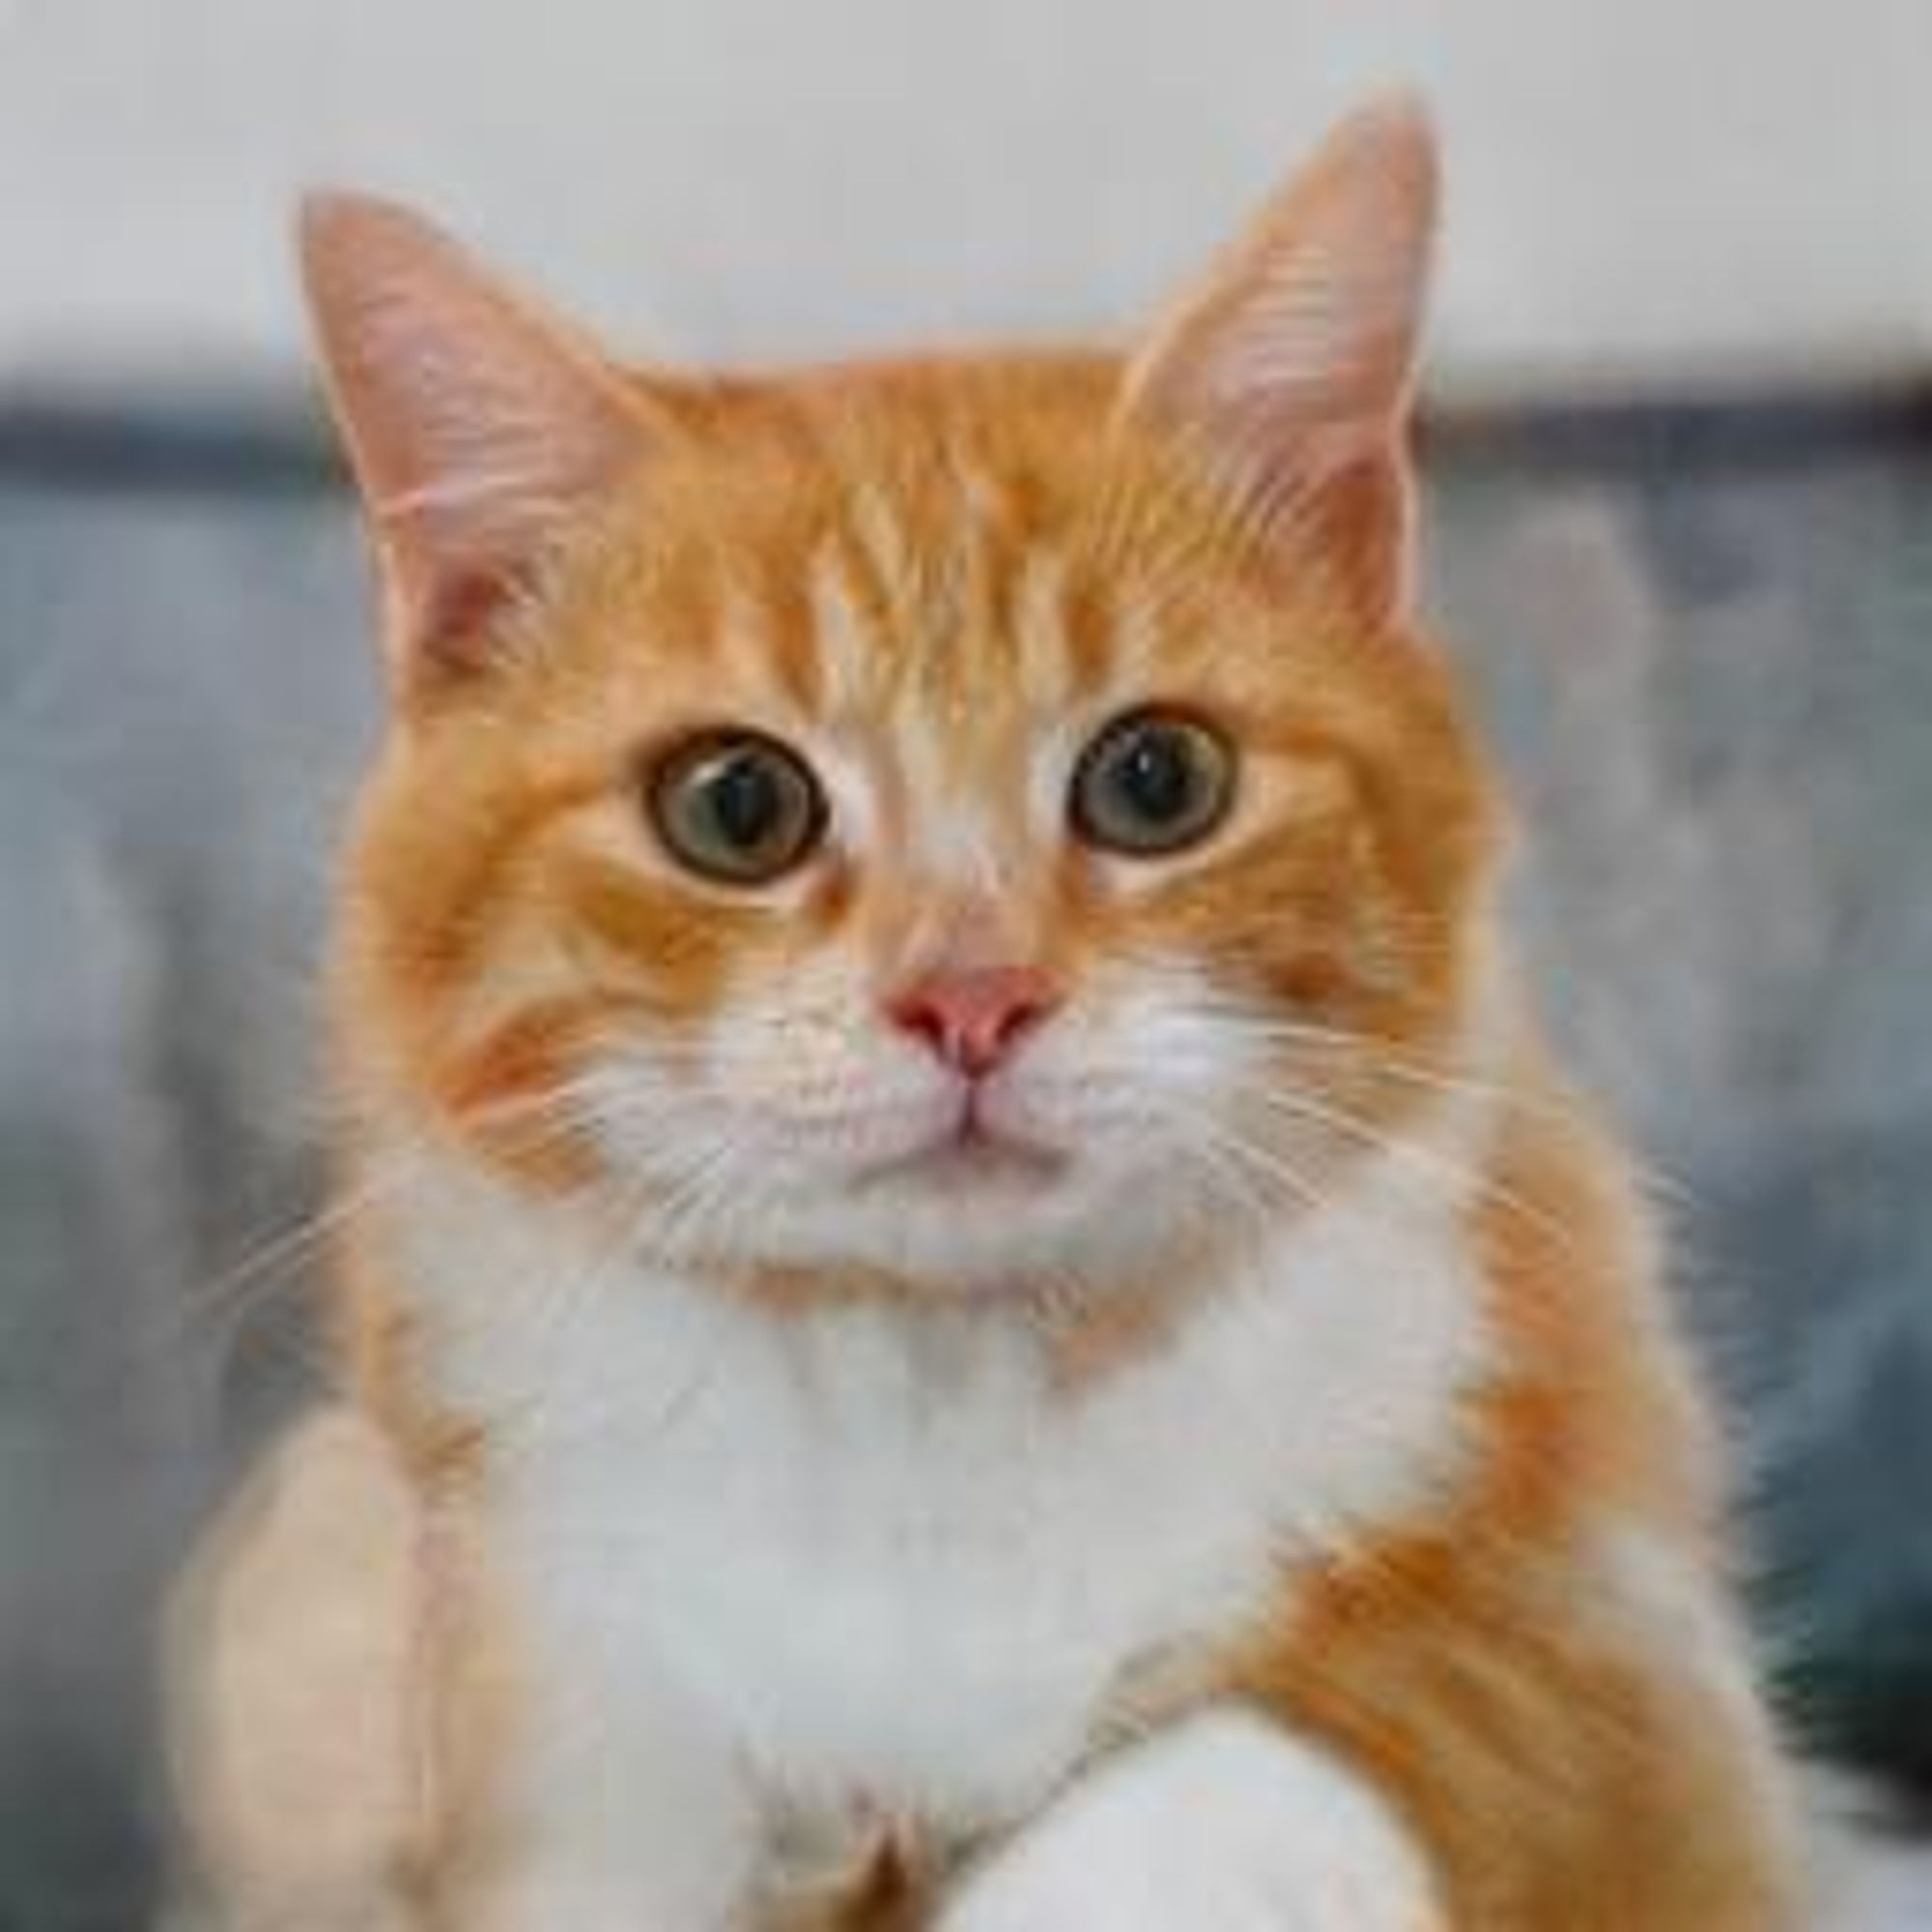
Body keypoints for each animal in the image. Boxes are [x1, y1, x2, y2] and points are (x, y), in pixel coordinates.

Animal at [174, 101, 1801, 1932]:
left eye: (1158, 781)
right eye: (736, 806)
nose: (970, 997)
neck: (937, 1408)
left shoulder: (1618, 1690)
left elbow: (1275, 1757)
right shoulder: (550, 1661)